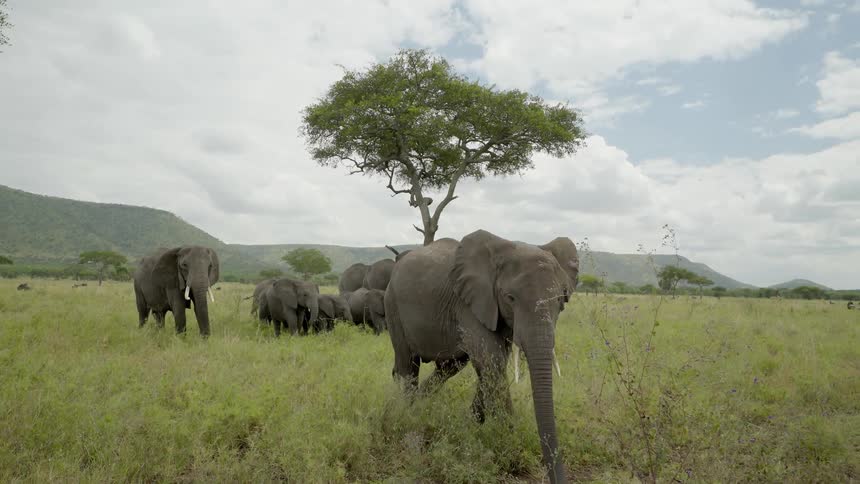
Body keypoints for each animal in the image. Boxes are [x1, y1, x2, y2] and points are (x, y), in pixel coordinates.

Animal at [385, 230, 570, 483]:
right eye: (510, 298)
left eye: (561, 301)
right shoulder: (469, 303)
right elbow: (492, 361)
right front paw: (509, 452)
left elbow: (491, 366)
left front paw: (469, 427)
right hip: (393, 306)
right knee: (407, 365)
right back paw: (409, 414)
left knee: (450, 366)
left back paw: (421, 406)